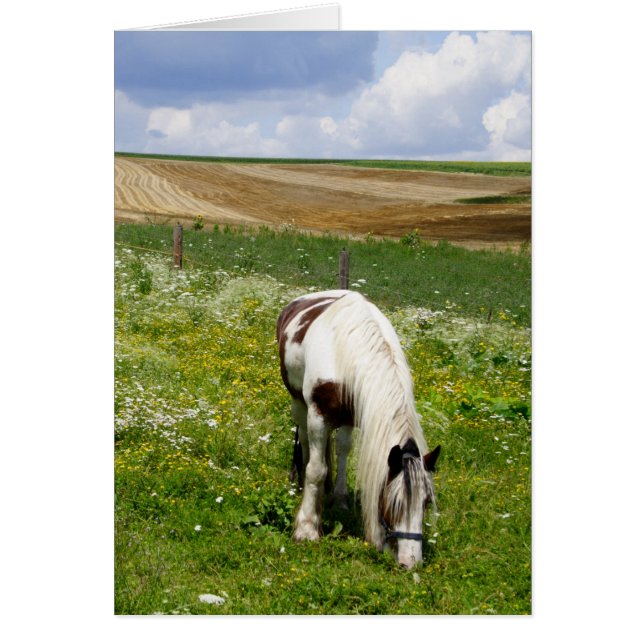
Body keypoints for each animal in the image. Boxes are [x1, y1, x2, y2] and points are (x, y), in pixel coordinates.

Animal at [276, 289, 441, 569]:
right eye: (395, 503)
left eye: (426, 502)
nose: (410, 562)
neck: (349, 351)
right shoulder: (318, 415)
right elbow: (316, 470)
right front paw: (307, 528)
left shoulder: (353, 414)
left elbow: (343, 454)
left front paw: (339, 500)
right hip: (299, 403)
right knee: (306, 441)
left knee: (340, 449)